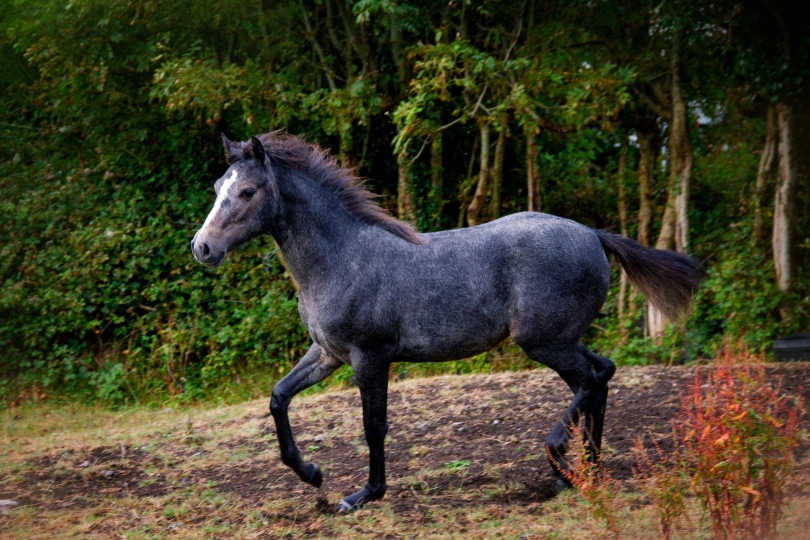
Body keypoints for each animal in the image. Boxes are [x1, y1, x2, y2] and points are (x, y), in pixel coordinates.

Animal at [191, 131, 700, 510]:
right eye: (217, 189)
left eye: (247, 192)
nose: (202, 248)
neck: (340, 259)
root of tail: (593, 235)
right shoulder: (327, 353)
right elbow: (278, 397)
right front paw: (313, 474)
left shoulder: (369, 357)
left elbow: (373, 425)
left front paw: (363, 495)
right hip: (563, 339)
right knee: (602, 374)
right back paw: (587, 470)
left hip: (545, 342)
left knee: (592, 380)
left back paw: (561, 459)